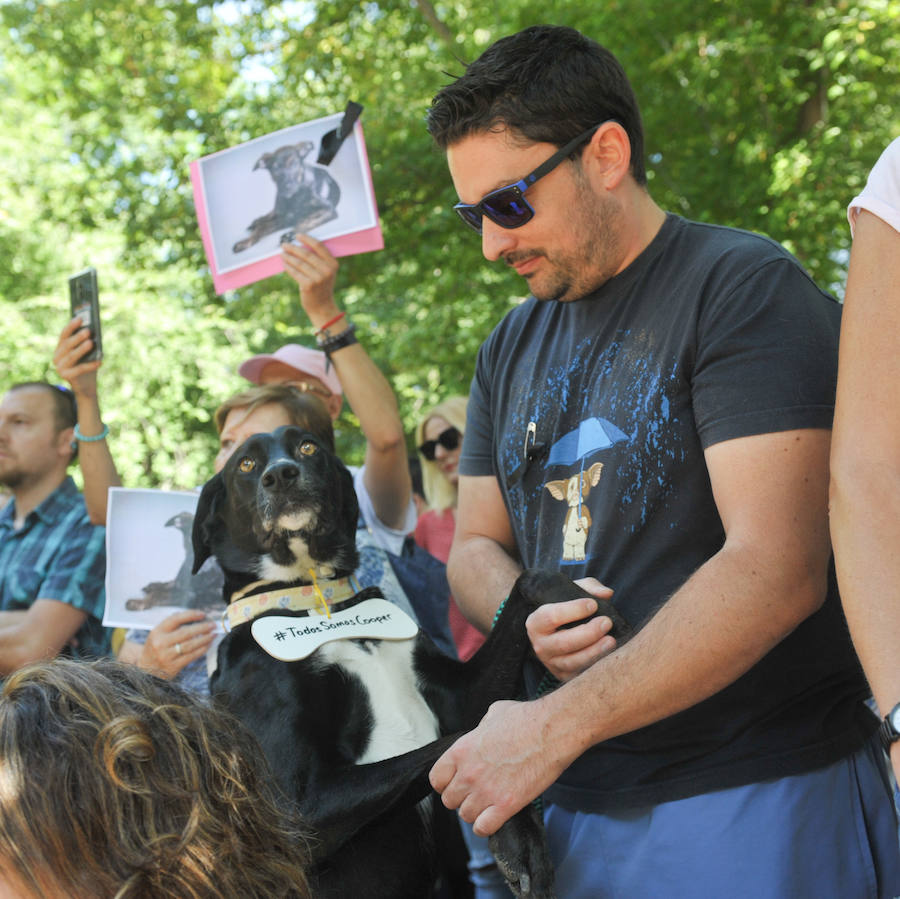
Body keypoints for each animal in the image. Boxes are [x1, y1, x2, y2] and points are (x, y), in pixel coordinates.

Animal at [190, 428, 624, 899]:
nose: (281, 475)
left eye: (307, 446)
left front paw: (592, 606)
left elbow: (529, 582)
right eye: (245, 464)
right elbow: (464, 741)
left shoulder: (462, 695)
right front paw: (519, 834)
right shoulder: (296, 808)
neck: (321, 606)